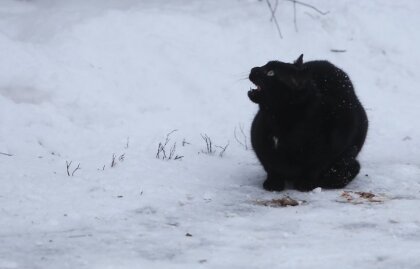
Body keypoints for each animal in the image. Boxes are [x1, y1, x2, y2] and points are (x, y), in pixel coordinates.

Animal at [249, 54, 368, 191]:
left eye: (271, 73)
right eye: (265, 65)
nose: (253, 69)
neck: (279, 121)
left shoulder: (328, 151)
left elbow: (314, 168)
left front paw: (305, 184)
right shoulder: (260, 146)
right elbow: (270, 167)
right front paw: (273, 183)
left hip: (350, 149)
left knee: (353, 166)